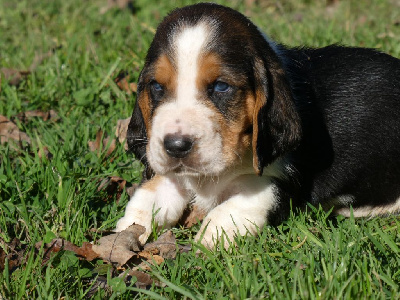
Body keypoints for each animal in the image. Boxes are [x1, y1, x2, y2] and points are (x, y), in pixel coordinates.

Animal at [115, 2, 400, 248]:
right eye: (156, 86)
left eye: (221, 86)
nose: (175, 146)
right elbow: (147, 196)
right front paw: (126, 233)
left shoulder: (281, 184)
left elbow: (235, 205)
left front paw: (207, 242)